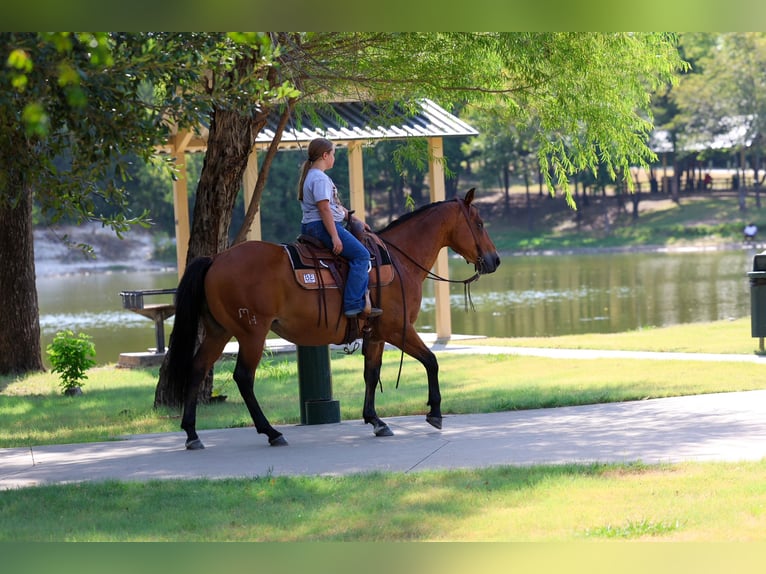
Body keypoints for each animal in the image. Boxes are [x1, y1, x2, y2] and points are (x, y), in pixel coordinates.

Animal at [166, 188, 500, 450]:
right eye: (480, 223)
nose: (495, 260)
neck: (400, 261)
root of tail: (215, 260)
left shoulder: (377, 334)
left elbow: (371, 373)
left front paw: (375, 420)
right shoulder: (399, 329)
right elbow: (431, 361)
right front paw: (435, 413)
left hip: (219, 331)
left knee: (197, 369)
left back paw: (192, 433)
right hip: (252, 334)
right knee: (244, 378)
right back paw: (271, 432)